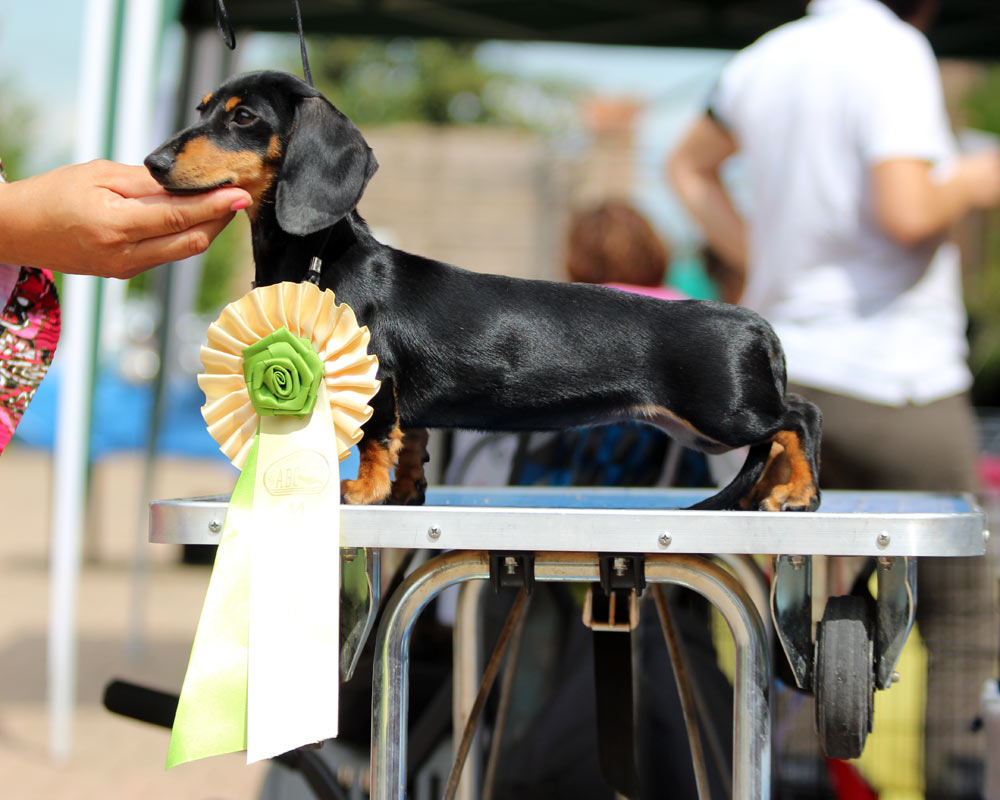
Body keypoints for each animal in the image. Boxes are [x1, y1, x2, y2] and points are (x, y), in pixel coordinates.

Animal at [148, 70, 820, 512]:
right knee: (777, 436)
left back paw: (799, 493)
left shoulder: (375, 377)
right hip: (700, 427)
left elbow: (375, 440)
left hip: (724, 413)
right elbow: (411, 444)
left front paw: (362, 491)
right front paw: (405, 493)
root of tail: (754, 323)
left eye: (243, 117)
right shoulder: (409, 407)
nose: (154, 163)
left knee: (798, 419)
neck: (322, 255)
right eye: (203, 109)